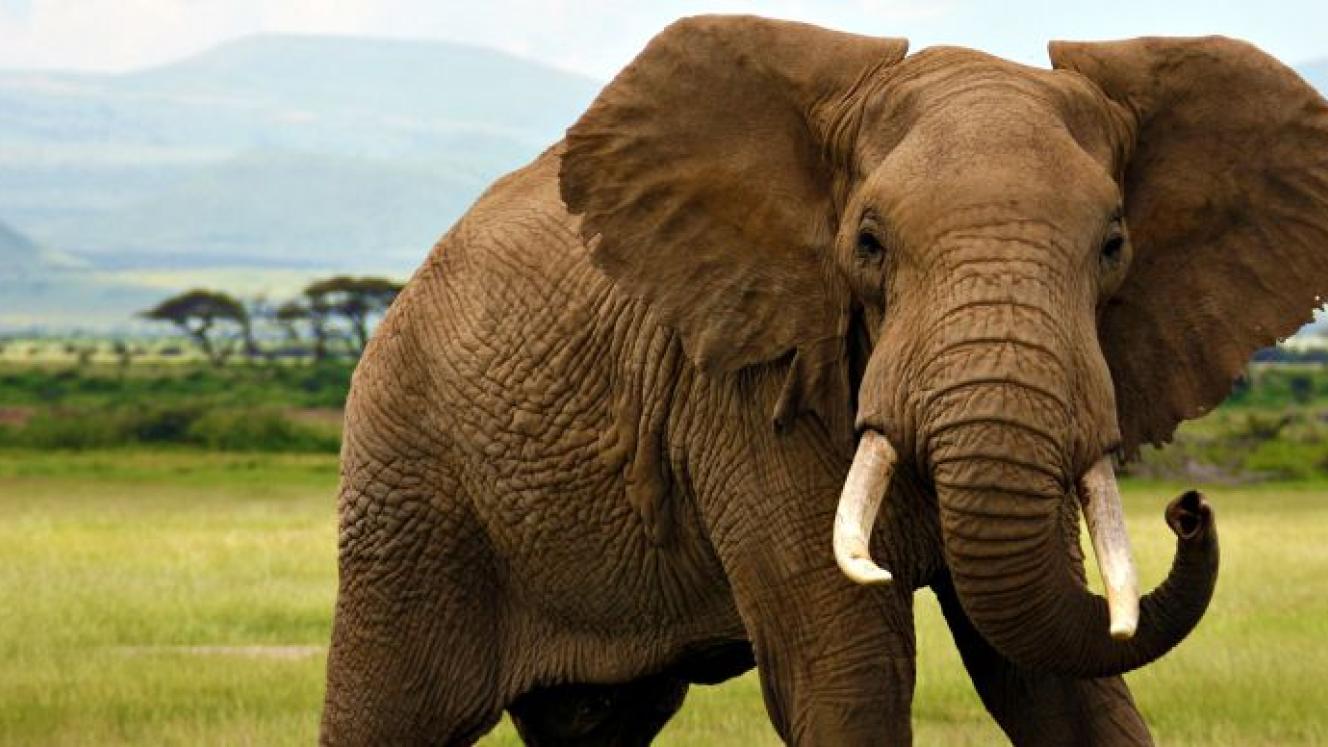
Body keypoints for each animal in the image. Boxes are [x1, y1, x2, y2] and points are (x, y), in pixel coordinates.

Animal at [320, 15, 1328, 746]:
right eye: (869, 243)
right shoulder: (742, 387)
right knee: (393, 712)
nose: (1189, 507)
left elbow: (1053, 678)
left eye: (1114, 244)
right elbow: (849, 673)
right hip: (409, 489)